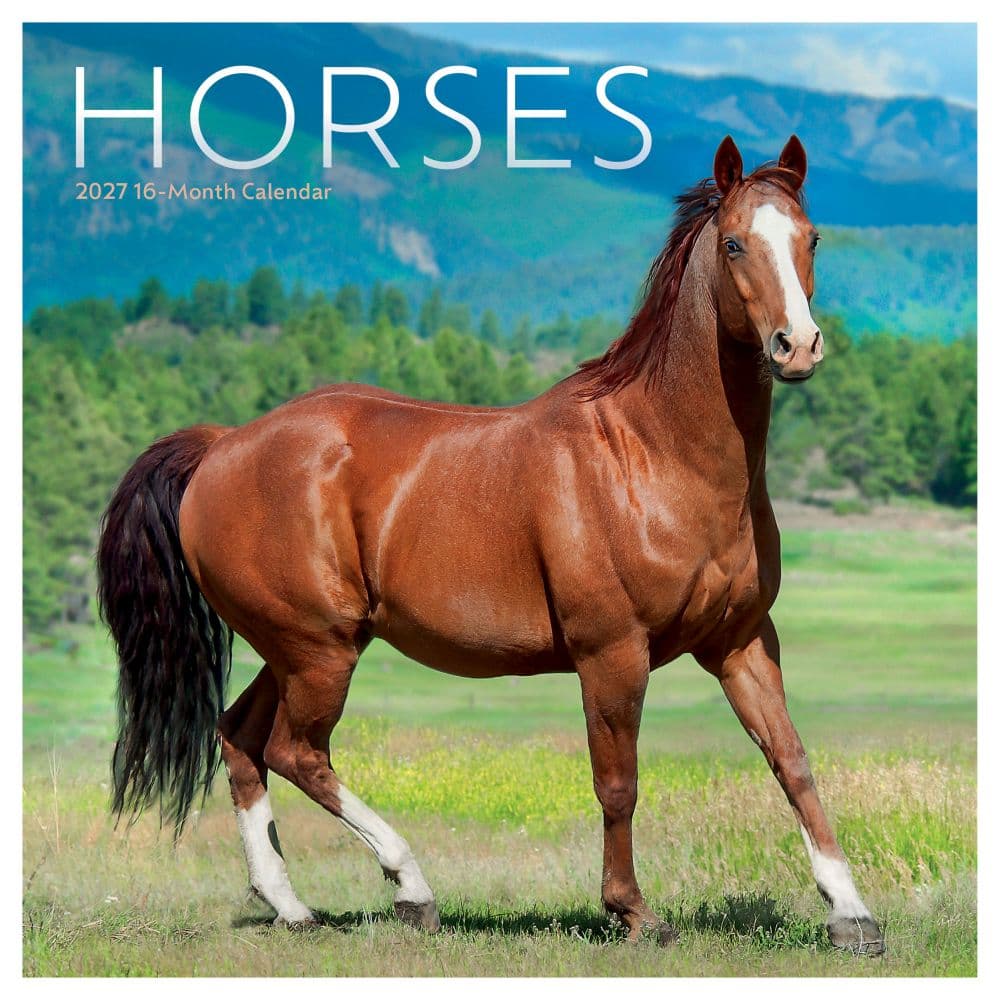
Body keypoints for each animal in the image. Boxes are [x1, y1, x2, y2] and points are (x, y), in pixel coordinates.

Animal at [97, 134, 885, 956]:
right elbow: (618, 782)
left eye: (811, 239)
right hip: (318, 652)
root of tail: (222, 446)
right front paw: (631, 911)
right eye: (734, 243)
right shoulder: (612, 653)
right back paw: (411, 887)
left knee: (241, 738)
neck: (655, 452)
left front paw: (852, 912)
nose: (797, 347)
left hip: (297, 651)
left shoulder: (742, 641)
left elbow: (792, 763)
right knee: (294, 752)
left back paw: (293, 907)